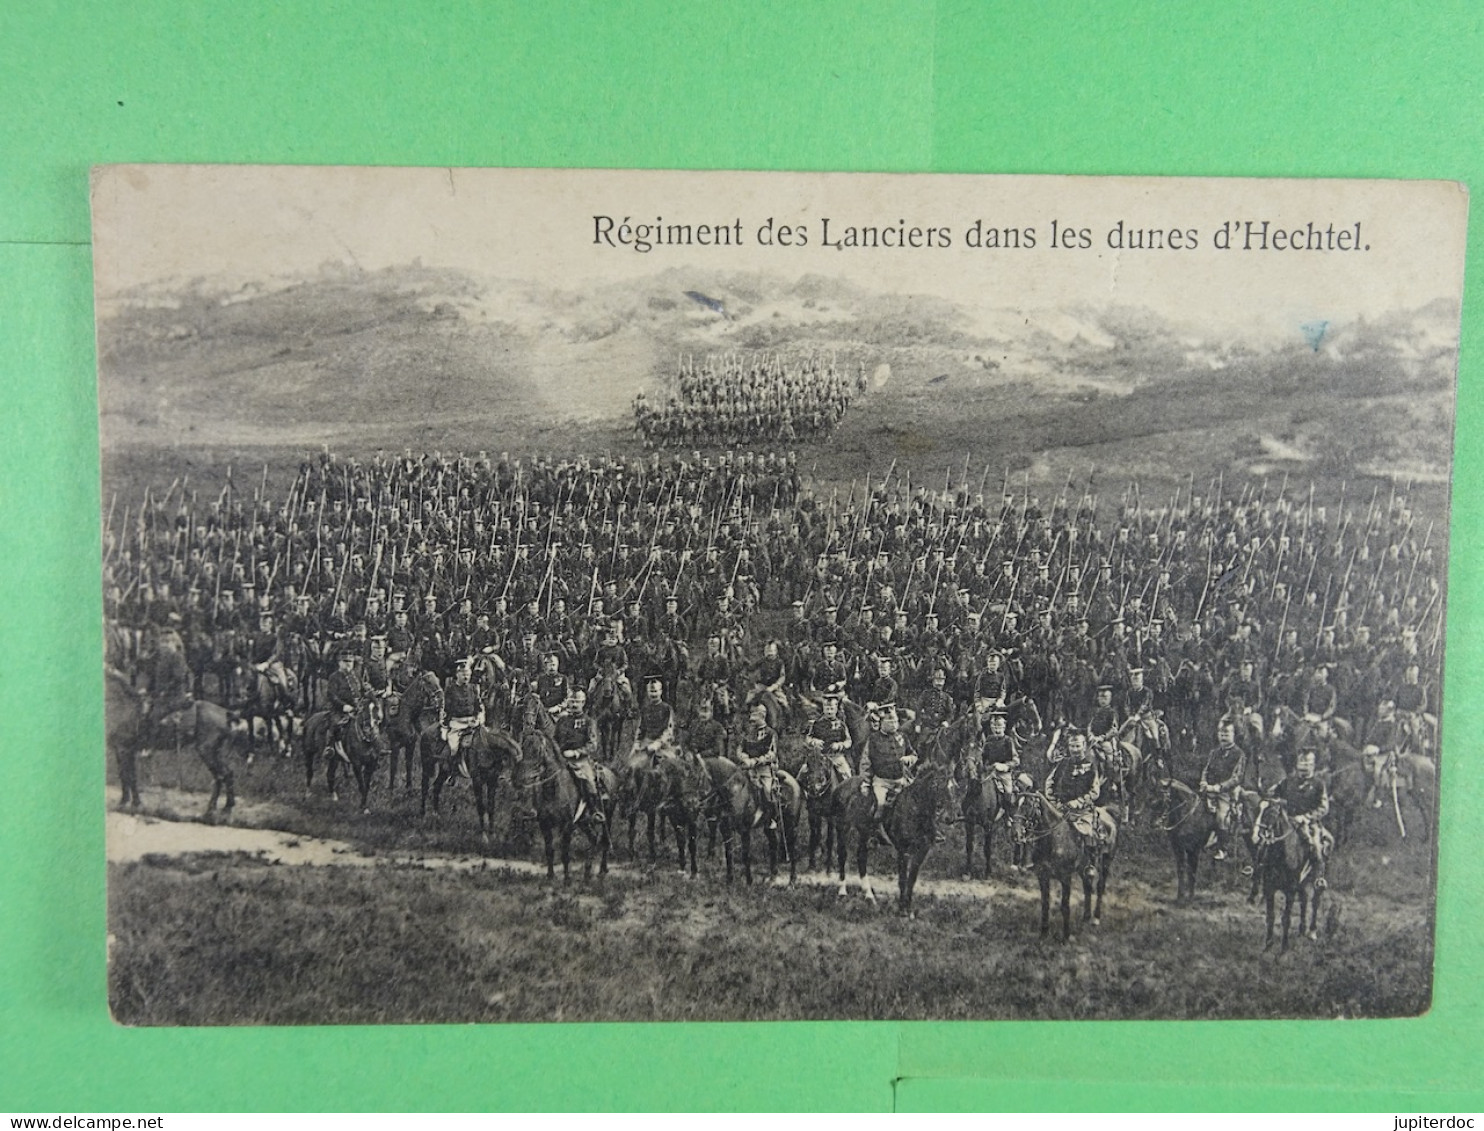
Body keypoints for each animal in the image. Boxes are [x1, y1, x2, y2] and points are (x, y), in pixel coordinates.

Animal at [519, 730, 617, 878]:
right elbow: (549, 850)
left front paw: (566, 879)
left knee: (604, 841)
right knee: (594, 838)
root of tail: (611, 774)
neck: (554, 788)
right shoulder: (545, 824)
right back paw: (587, 871)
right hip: (583, 822)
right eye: (523, 748)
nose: (523, 776)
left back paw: (602, 870)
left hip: (608, 817)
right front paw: (550, 876)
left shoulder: (567, 825)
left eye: (536, 750)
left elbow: (565, 853)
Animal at [1009, 789, 1115, 938]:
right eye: (1014, 805)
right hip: (1083, 868)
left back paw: (1095, 918)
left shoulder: (1066, 877)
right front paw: (1044, 933)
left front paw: (1065, 936)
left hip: (1106, 861)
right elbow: (1045, 904)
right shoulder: (1043, 876)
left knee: (1100, 887)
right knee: (1087, 886)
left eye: (1027, 805)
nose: (1015, 834)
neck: (1054, 839)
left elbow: (1065, 905)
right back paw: (1086, 917)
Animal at [1252, 795, 1323, 949]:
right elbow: (1271, 916)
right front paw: (1268, 944)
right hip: (1302, 884)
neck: (1282, 854)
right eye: (1257, 810)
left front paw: (1284, 947)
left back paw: (1312, 932)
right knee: (1304, 900)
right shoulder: (1269, 888)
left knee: (1315, 902)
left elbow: (1286, 918)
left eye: (1271, 813)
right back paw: (1302, 930)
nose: (1255, 837)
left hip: (1316, 881)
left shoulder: (1290, 890)